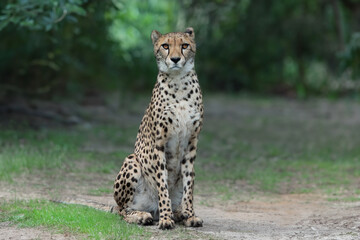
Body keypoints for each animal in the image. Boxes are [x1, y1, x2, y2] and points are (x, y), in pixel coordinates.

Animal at [113, 27, 202, 230]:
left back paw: (180, 213)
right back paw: (142, 216)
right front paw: (166, 218)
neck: (179, 83)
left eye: (185, 45)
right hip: (132, 160)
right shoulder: (159, 144)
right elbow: (162, 183)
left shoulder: (191, 143)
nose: (175, 59)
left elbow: (189, 183)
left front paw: (190, 215)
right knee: (122, 210)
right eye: (165, 46)